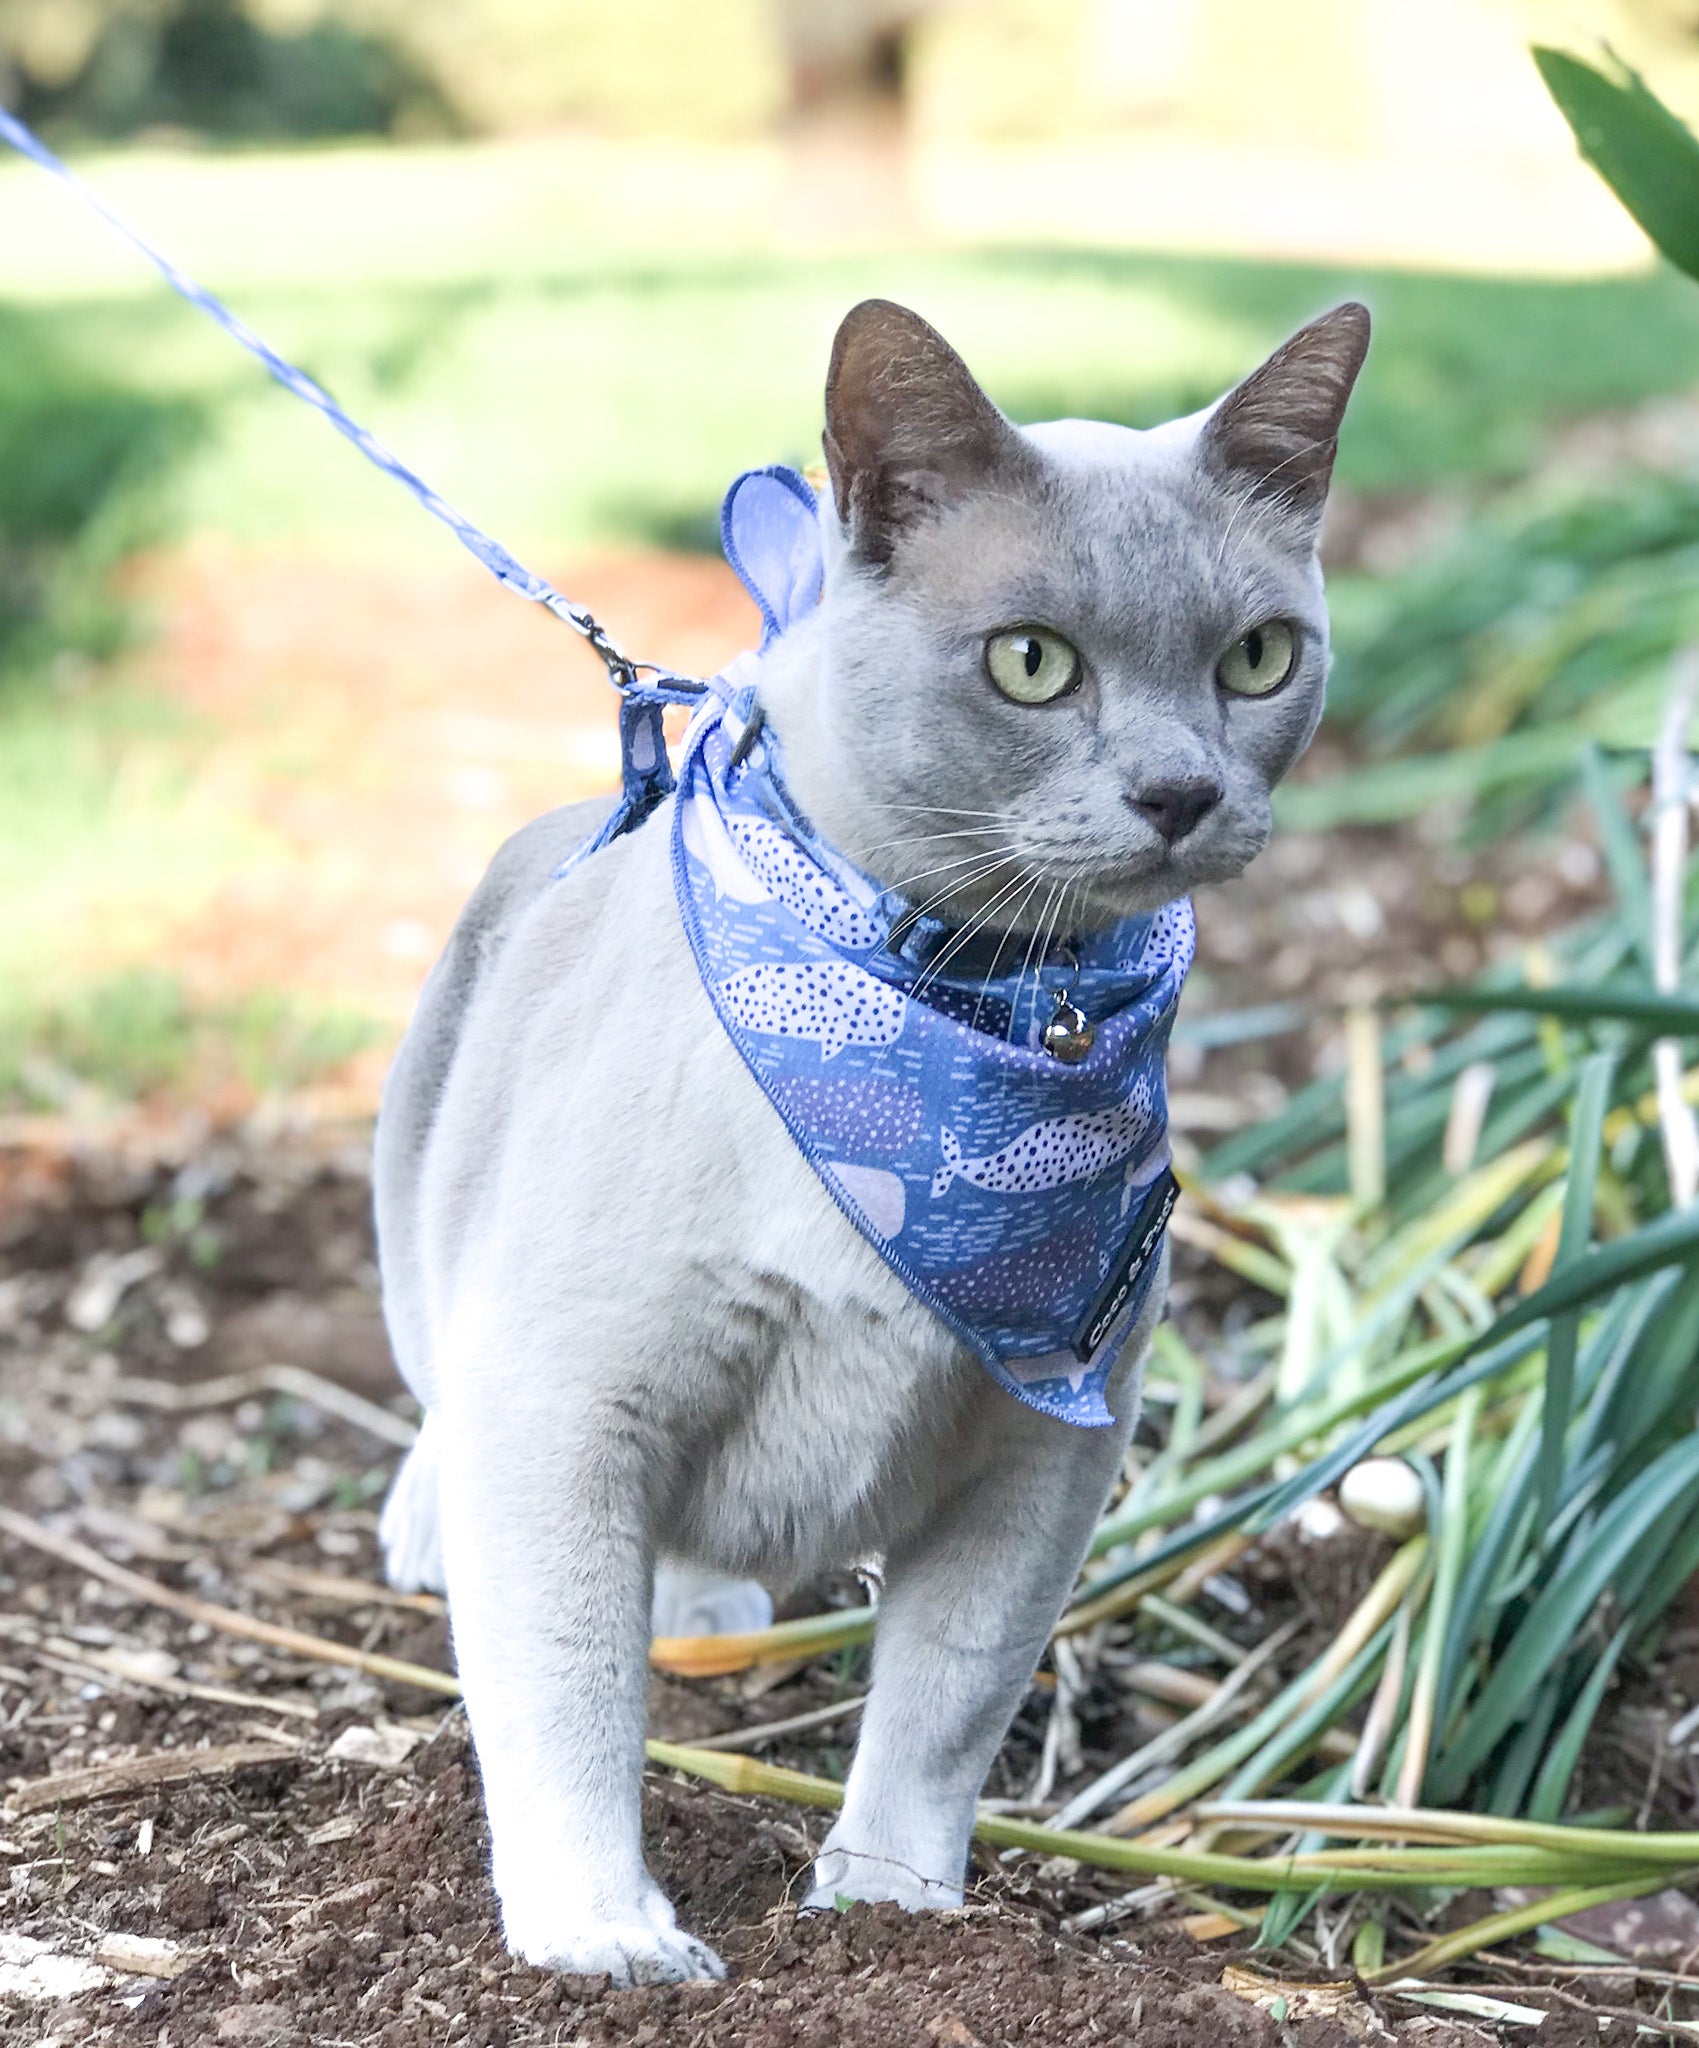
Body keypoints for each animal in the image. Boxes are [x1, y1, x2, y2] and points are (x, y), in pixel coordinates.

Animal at [368, 296, 1367, 1974]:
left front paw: (893, 1913)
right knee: (445, 1412)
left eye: (1255, 658)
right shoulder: (567, 1404)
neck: (968, 1016)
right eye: (1029, 663)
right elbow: (564, 1689)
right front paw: (609, 1944)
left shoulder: (1046, 1454)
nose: (1178, 789)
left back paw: (711, 1616)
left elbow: (945, 1705)